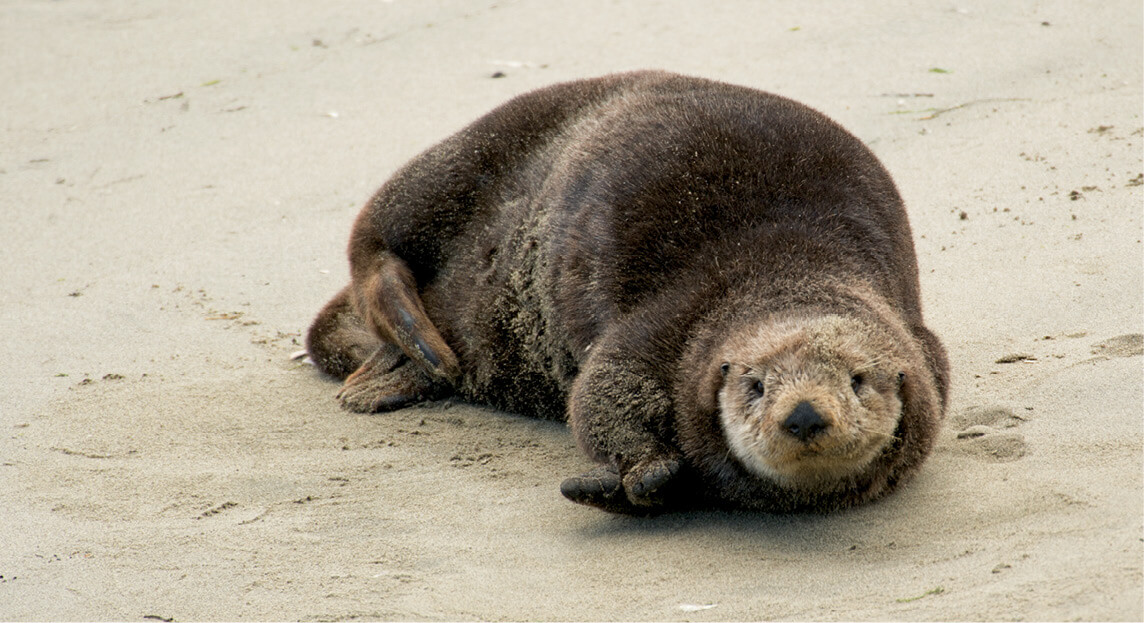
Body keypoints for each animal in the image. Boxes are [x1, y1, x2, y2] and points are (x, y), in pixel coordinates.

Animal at [304, 70, 947, 512]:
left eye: (858, 380)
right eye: (755, 385)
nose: (806, 415)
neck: (788, 258)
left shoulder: (925, 344)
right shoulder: (670, 317)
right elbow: (603, 389)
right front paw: (645, 471)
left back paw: (401, 372)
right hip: (473, 152)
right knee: (376, 233)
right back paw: (406, 337)